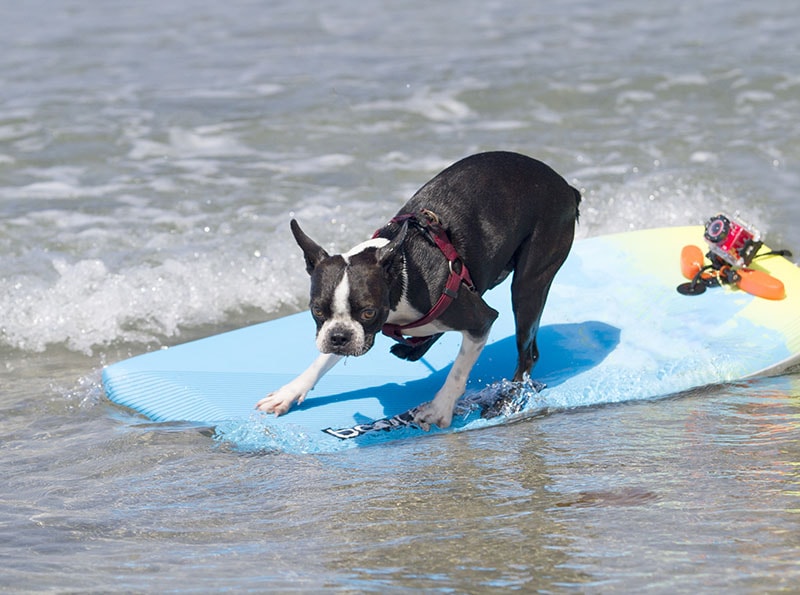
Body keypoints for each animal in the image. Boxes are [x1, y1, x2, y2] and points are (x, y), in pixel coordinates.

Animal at [258, 151, 580, 430]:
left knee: (528, 352)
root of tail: (565, 186)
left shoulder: (480, 320)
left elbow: (459, 371)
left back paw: (508, 397)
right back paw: (412, 348)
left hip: (529, 282)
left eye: (368, 312)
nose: (339, 338)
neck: (401, 272)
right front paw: (290, 392)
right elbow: (321, 361)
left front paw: (440, 408)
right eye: (316, 310)